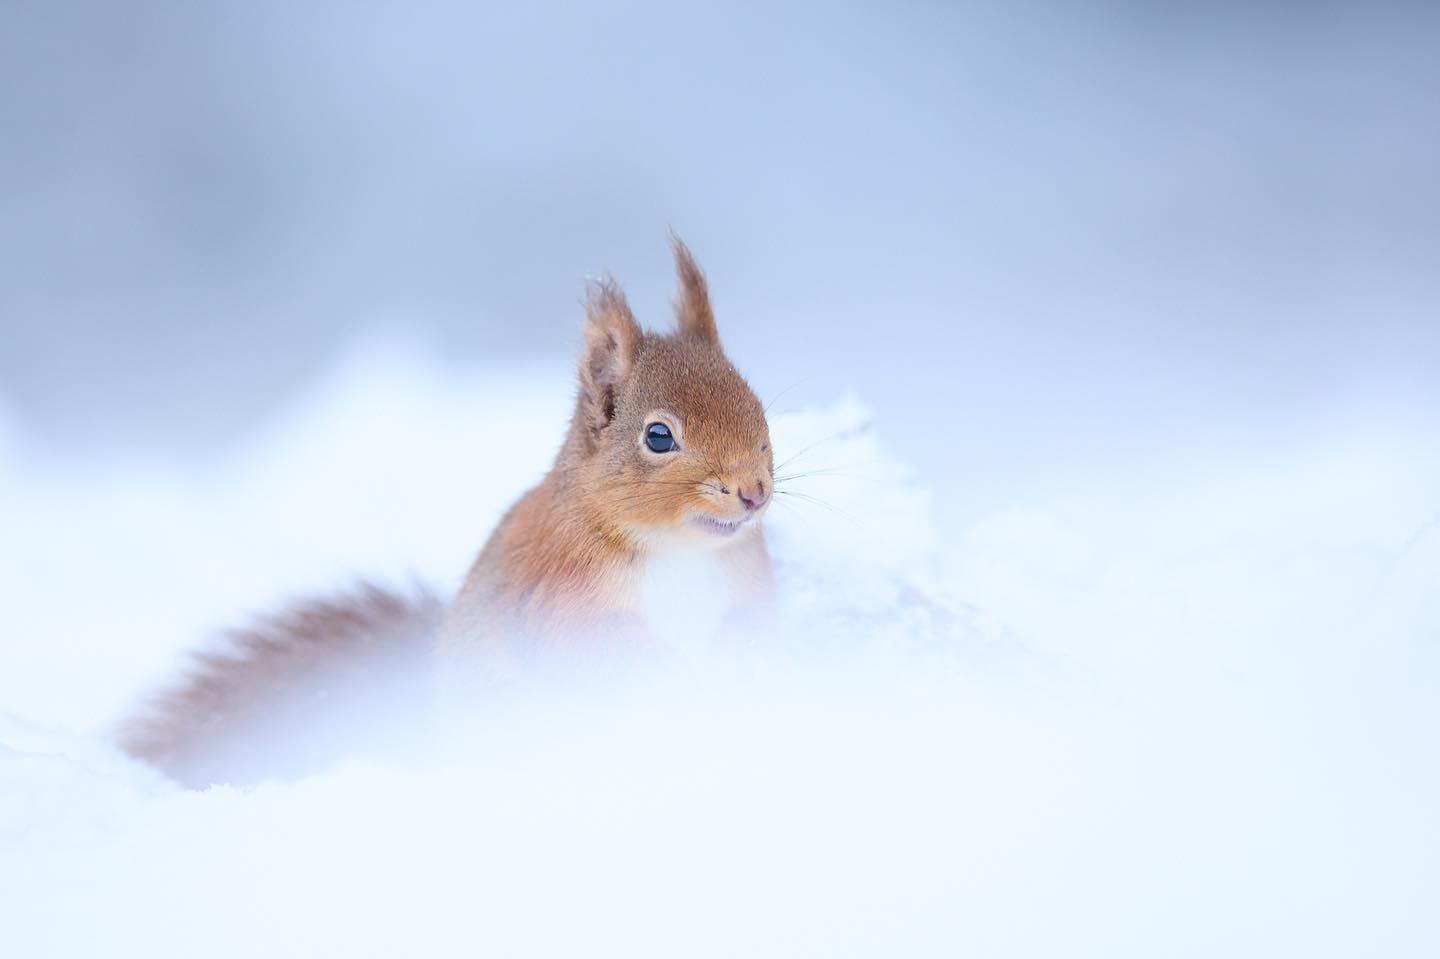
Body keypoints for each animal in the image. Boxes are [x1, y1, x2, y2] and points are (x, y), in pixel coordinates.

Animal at [121, 236, 776, 786]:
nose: (753, 491)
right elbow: (592, 653)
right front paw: (672, 678)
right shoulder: (556, 594)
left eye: (758, 406)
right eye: (659, 437)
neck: (677, 551)